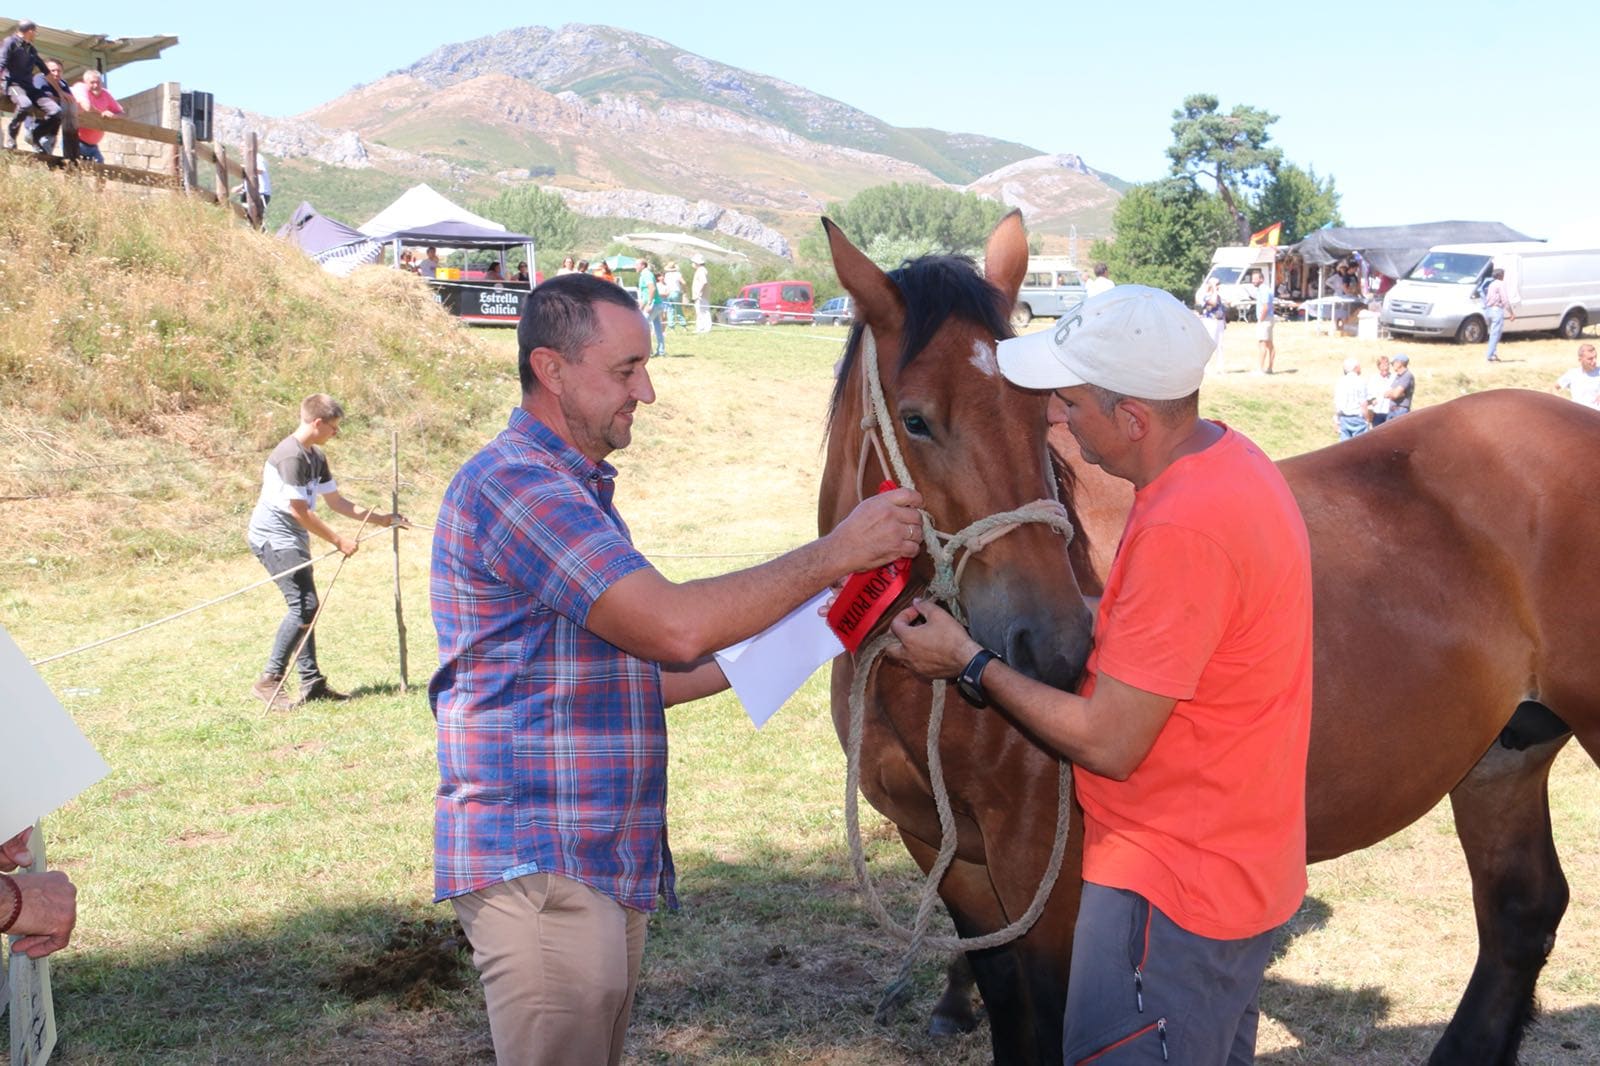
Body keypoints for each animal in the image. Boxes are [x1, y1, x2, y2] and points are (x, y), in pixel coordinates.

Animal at [819, 211, 1600, 1056]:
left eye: (1044, 416)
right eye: (916, 420)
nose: (1055, 648)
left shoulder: (1043, 880)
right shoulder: (951, 862)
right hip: (1503, 759)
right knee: (1521, 913)